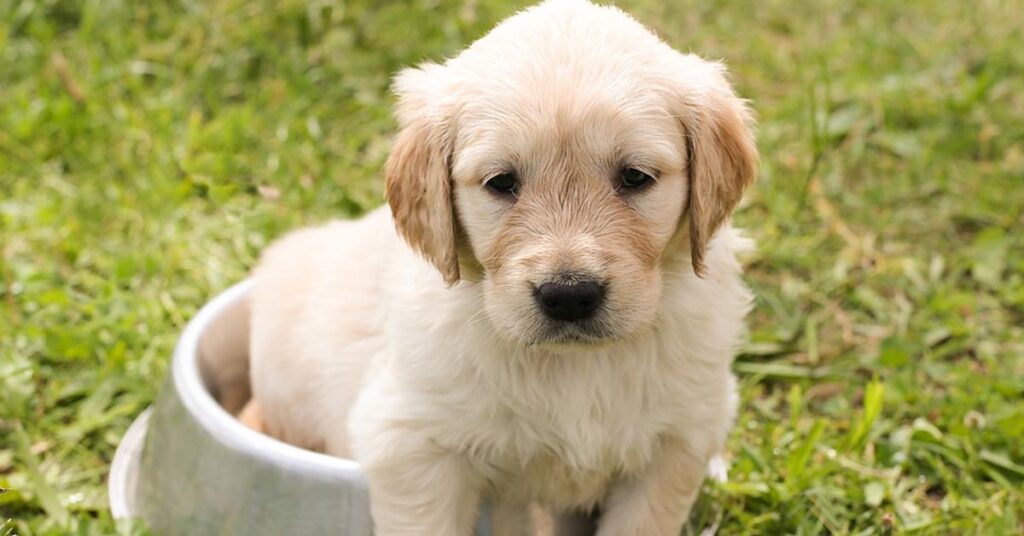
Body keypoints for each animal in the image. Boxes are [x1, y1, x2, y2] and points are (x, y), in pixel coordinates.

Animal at [245, 2, 761, 532]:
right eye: (501, 182)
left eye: (635, 177)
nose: (569, 295)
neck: (574, 366)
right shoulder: (412, 443)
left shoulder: (677, 443)